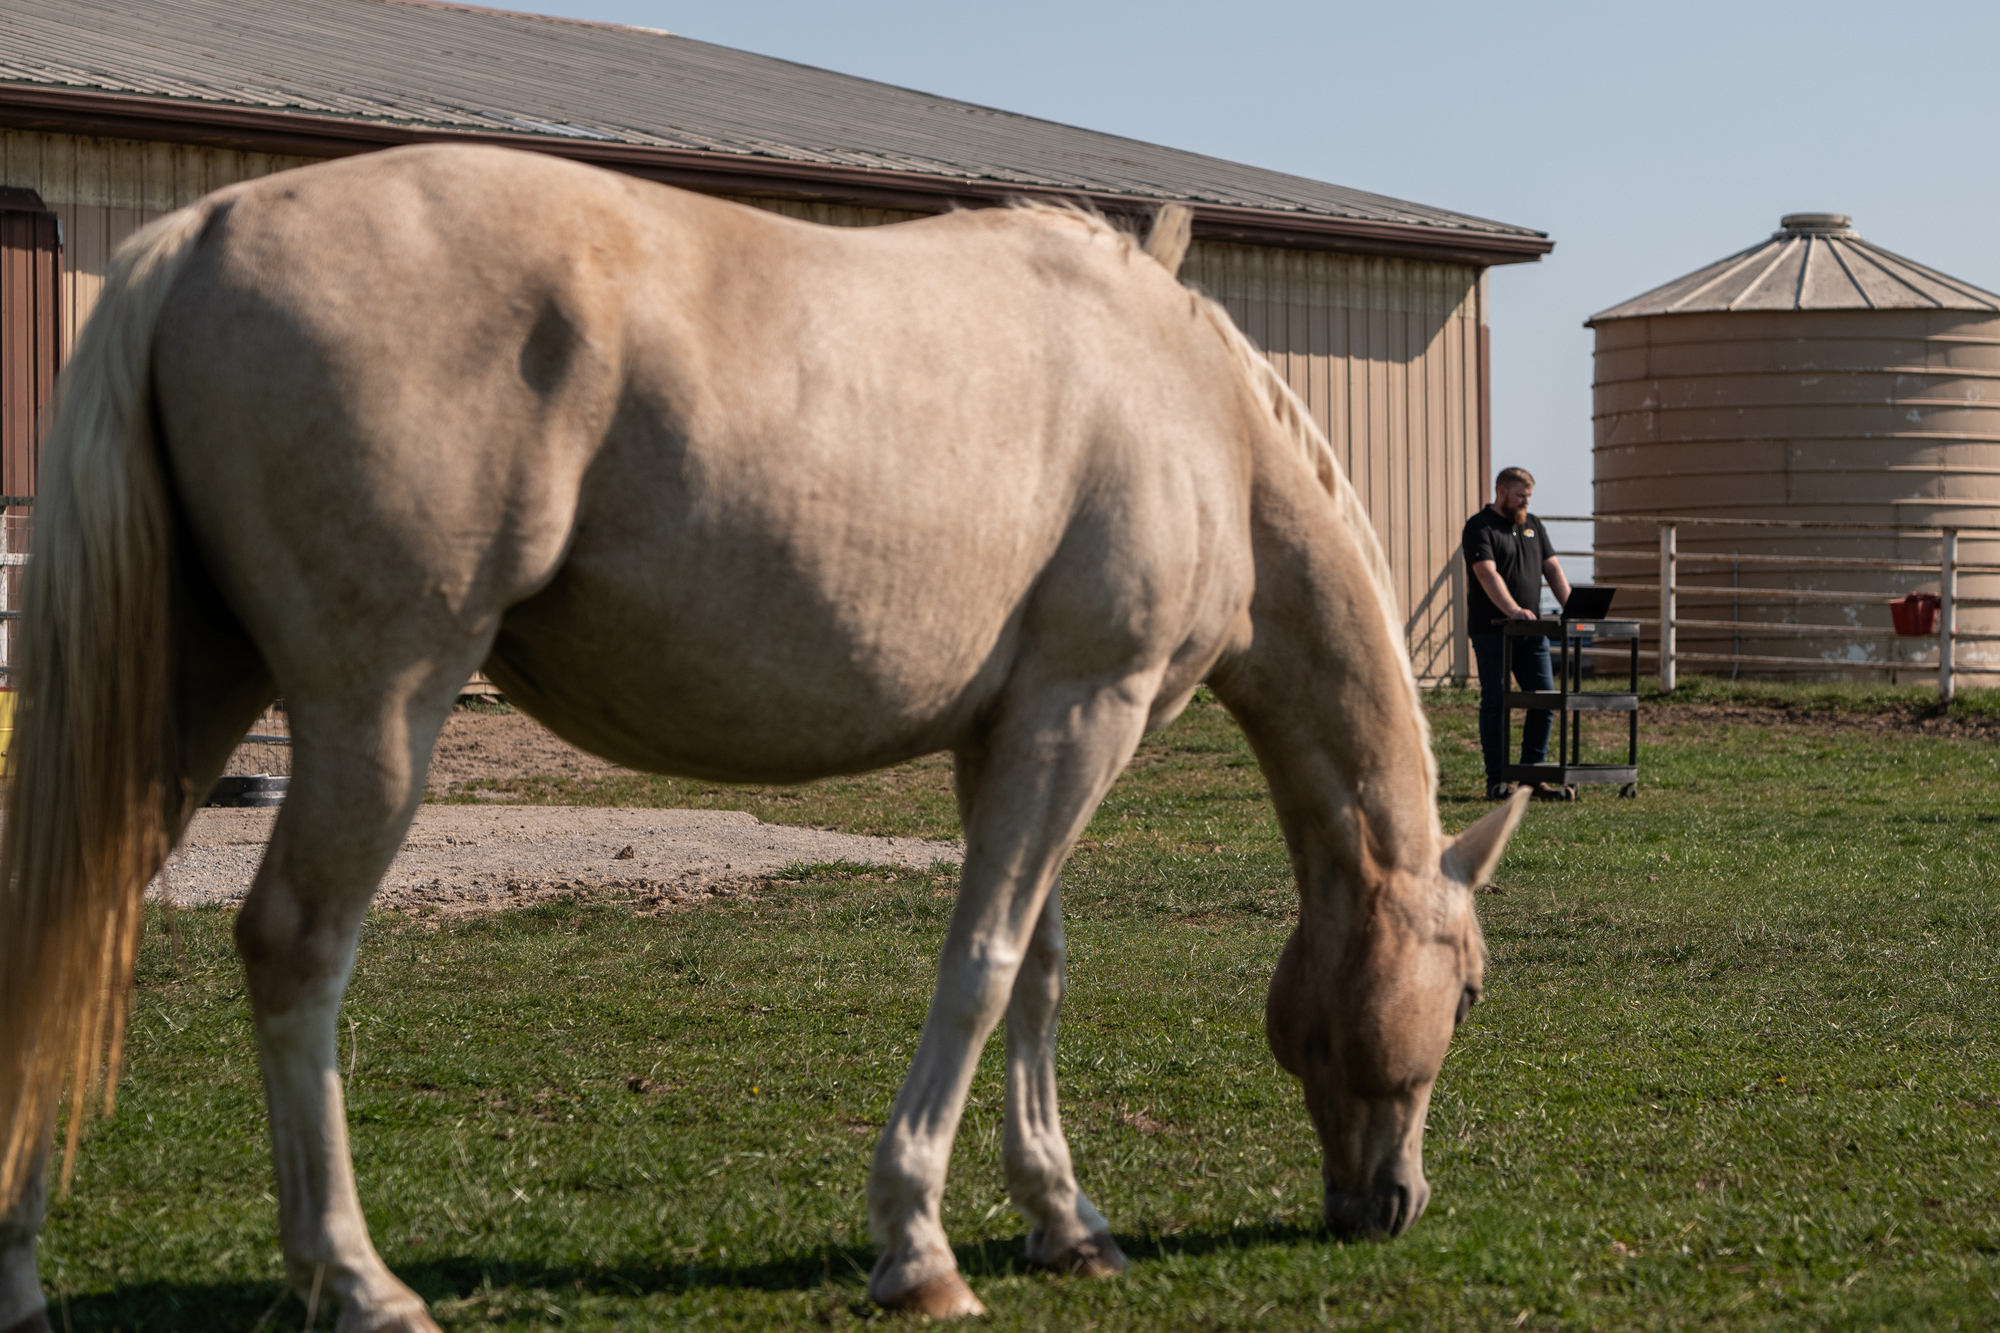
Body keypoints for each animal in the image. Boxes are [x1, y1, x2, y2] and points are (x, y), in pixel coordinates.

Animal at [0, 140, 1520, 1320]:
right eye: (1470, 990)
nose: (1389, 1203)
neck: (1187, 407)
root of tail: (202, 230)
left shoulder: (1015, 732)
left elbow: (1036, 969)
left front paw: (1064, 1219)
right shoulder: (1086, 713)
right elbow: (981, 967)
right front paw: (919, 1248)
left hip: (189, 700)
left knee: (61, 930)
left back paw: (22, 1272)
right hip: (375, 715)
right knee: (293, 947)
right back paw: (359, 1280)